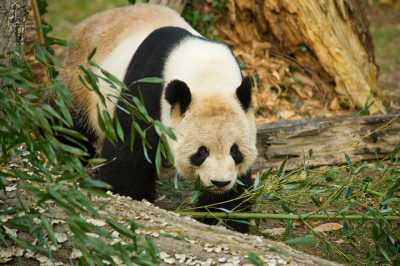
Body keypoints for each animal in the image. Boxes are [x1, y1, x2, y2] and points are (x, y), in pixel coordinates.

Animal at [55, 4, 256, 233]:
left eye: (235, 150)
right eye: (202, 152)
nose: (220, 182)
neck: (208, 75)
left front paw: (223, 216)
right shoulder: (146, 89)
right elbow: (130, 148)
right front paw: (130, 198)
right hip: (82, 82)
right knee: (69, 126)